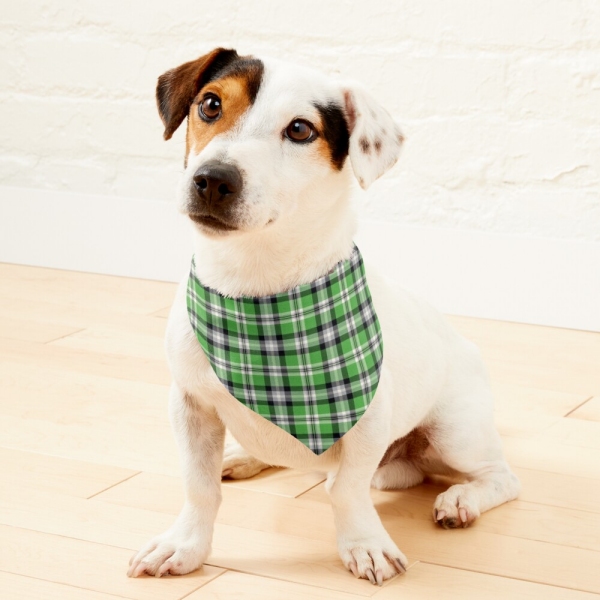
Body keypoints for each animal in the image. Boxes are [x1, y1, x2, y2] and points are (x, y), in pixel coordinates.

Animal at [127, 48, 520, 584]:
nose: (212, 179)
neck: (256, 289)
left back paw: (461, 499)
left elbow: (347, 490)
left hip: (456, 432)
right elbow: (199, 486)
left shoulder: (368, 420)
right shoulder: (190, 405)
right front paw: (185, 545)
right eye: (210, 104)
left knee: (500, 477)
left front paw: (365, 544)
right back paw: (244, 456)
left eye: (299, 130)